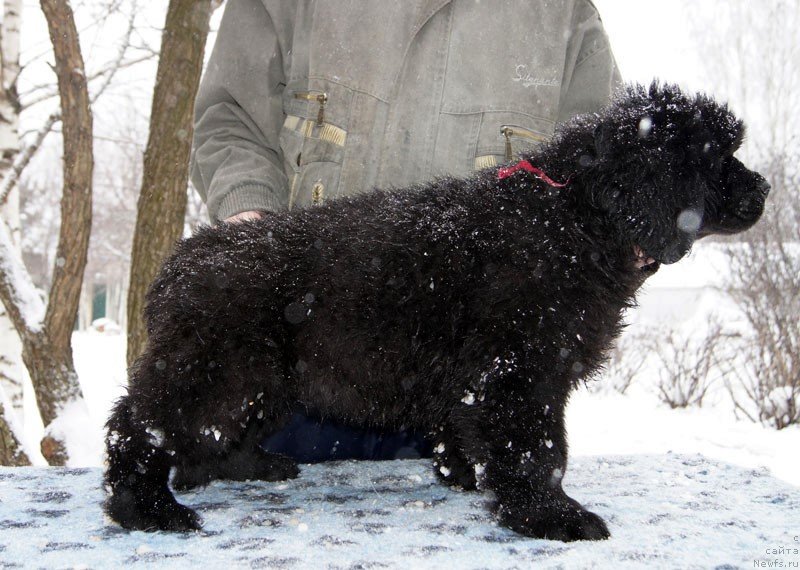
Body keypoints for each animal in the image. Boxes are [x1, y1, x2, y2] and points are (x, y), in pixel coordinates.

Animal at [104, 83, 768, 536]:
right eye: (716, 159)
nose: (765, 188)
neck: (572, 216)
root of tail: (177, 264)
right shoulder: (520, 371)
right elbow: (540, 451)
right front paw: (554, 517)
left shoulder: (488, 378)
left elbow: (476, 435)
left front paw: (461, 476)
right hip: (217, 368)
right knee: (137, 426)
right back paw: (148, 509)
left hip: (261, 381)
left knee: (210, 437)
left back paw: (253, 465)